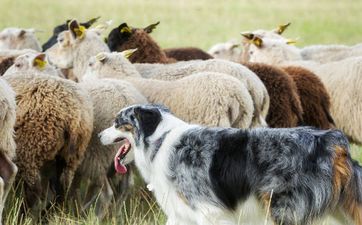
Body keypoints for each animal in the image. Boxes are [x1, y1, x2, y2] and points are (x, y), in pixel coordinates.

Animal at [2, 72, 93, 214]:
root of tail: (74, 114)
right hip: (70, 157)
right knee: (62, 189)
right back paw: (50, 214)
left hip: (30, 149)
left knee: (33, 190)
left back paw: (23, 215)